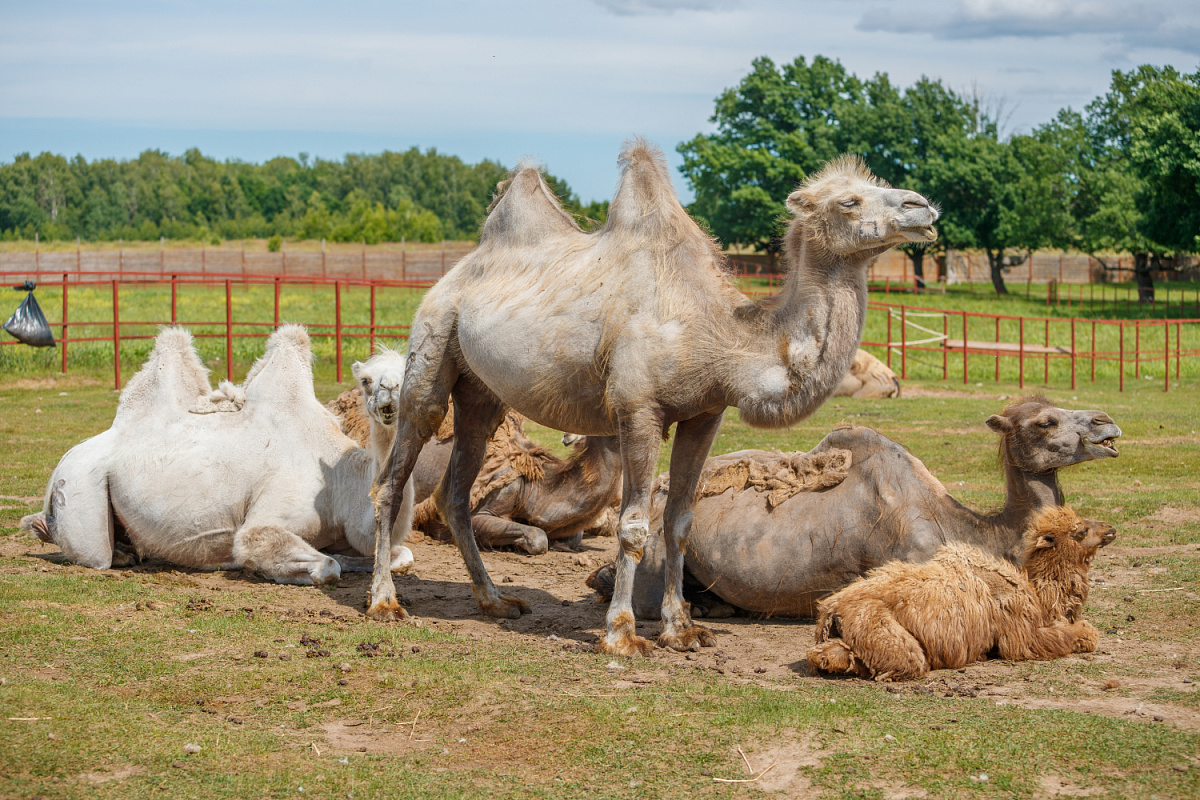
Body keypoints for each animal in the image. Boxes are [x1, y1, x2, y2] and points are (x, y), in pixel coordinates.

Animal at [17, 326, 412, 587]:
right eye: (366, 380)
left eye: (413, 368)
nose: (392, 391)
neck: (342, 481)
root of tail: (62, 463)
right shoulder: (268, 517)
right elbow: (325, 566)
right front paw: (259, 568)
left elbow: (401, 556)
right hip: (79, 489)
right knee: (93, 554)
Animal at [369, 139, 940, 657]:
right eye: (848, 201)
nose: (922, 207)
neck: (723, 338)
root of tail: (454, 275)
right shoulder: (638, 410)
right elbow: (633, 527)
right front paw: (622, 634)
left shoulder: (705, 413)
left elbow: (680, 523)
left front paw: (681, 629)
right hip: (430, 350)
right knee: (393, 478)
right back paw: (384, 602)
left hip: (482, 393)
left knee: (456, 490)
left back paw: (494, 601)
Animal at [806, 506, 1113, 681]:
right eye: (1080, 531)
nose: (1110, 529)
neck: (1037, 596)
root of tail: (831, 609)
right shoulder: (1020, 631)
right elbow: (1077, 635)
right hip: (881, 629)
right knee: (906, 662)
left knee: (824, 654)